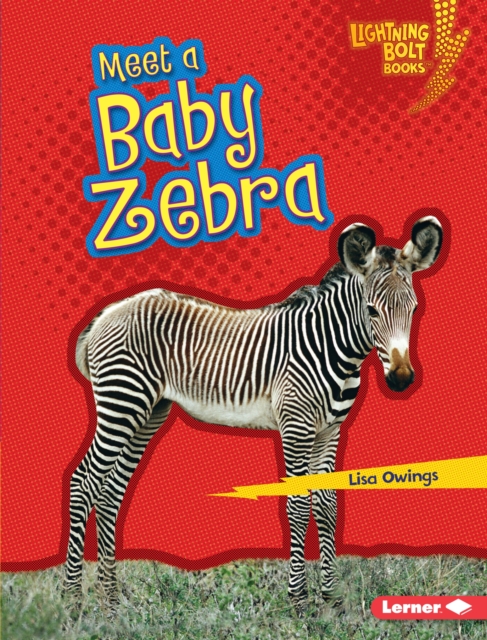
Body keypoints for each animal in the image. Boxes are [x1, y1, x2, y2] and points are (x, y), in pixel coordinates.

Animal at [65, 215, 443, 614]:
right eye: (371, 311)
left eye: (413, 310)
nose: (401, 379)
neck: (333, 349)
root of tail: (109, 311)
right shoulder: (296, 427)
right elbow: (297, 505)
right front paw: (299, 601)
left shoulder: (329, 432)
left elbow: (327, 506)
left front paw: (332, 601)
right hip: (121, 401)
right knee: (83, 483)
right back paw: (73, 602)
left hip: (146, 411)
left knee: (110, 491)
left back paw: (111, 600)